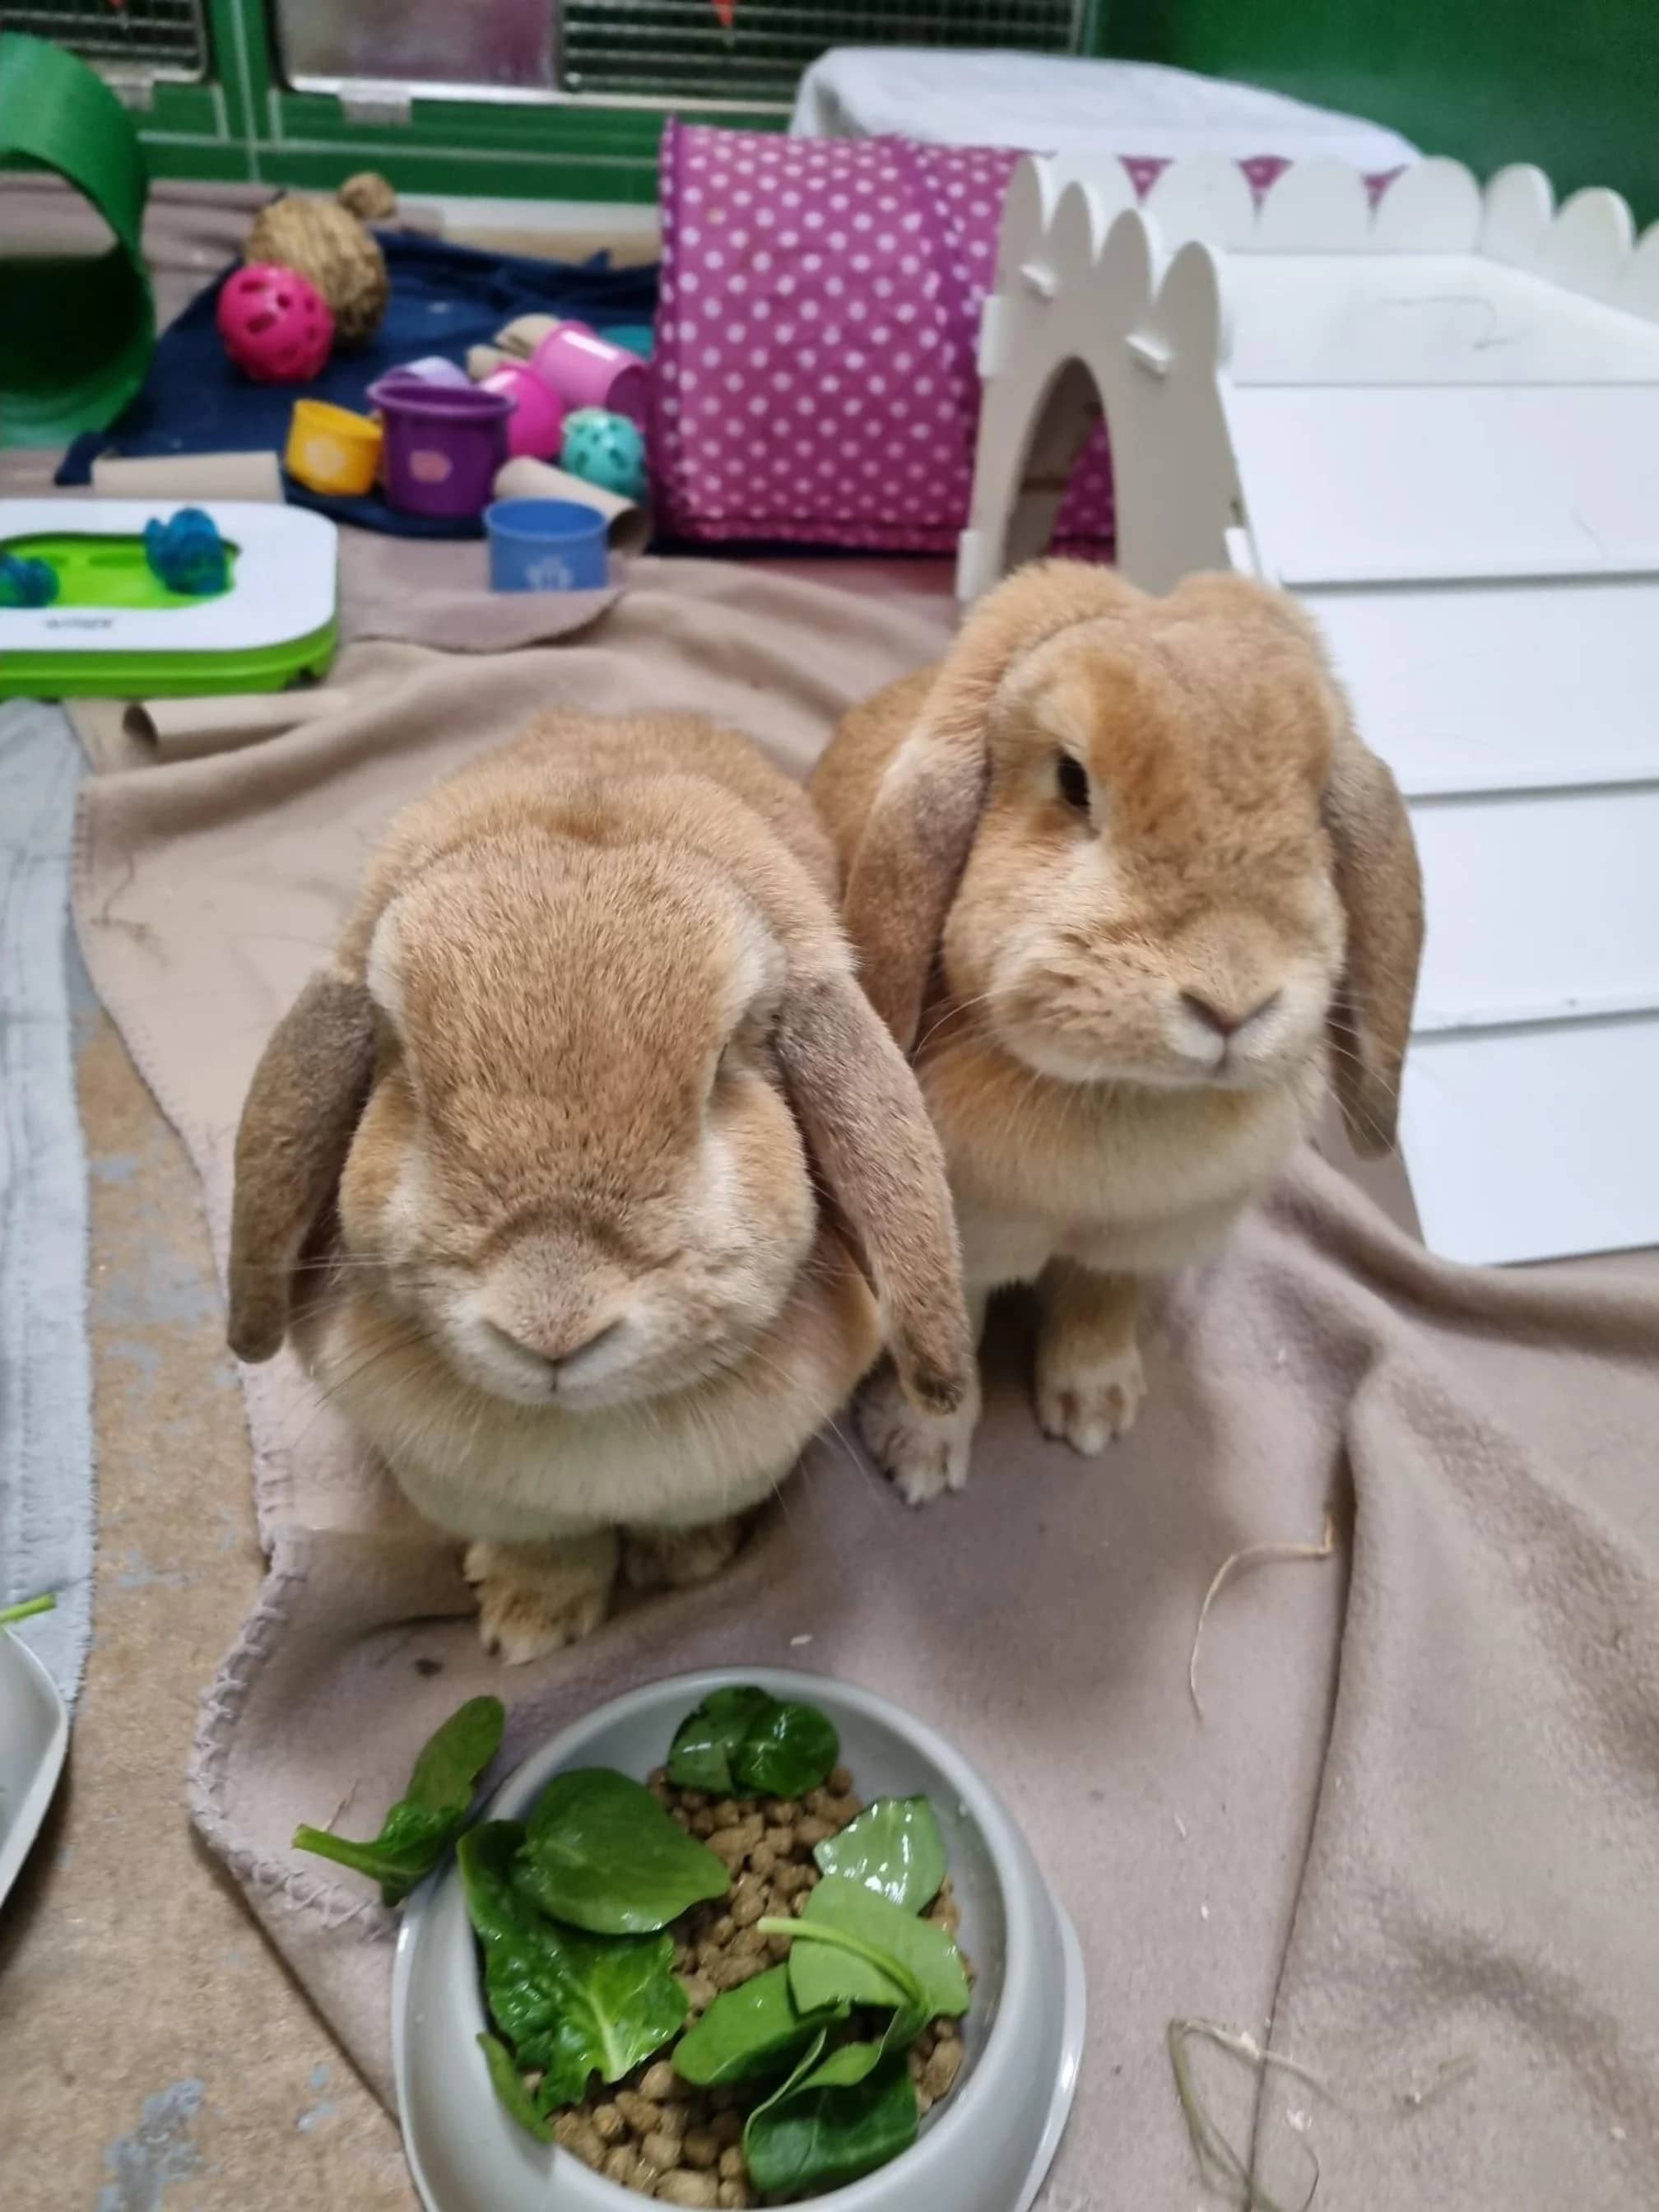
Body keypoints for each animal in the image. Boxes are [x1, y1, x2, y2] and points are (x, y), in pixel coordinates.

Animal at [227, 712, 973, 1660]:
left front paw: (685, 1563)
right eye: (414, 1084)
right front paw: (528, 1625)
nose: (552, 1323)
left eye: (721, 1072)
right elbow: (548, 1549)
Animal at [810, 562, 1423, 1505]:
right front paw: (919, 1455)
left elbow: (1100, 1305)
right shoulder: (968, 1244)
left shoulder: (1135, 1246)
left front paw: (1096, 1415)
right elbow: (958, 1332)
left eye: (1318, 811)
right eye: (1072, 780)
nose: (1232, 1002)